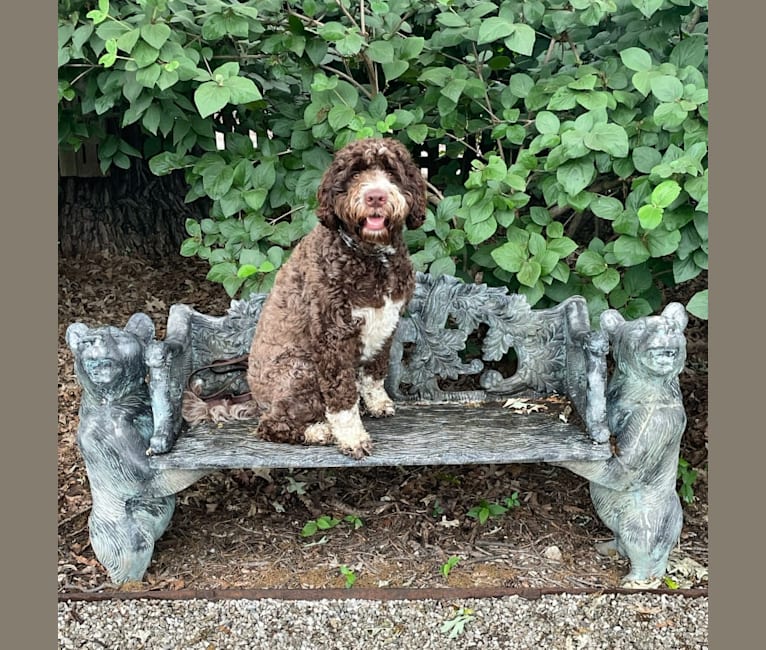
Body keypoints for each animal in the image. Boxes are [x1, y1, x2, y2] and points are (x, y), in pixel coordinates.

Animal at [244, 137, 426, 456]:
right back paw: (318, 432)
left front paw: (377, 403)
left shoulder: (386, 323)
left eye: (392, 172)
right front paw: (352, 437)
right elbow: (342, 397)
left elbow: (374, 371)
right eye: (355, 173)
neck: (372, 255)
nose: (376, 197)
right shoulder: (333, 334)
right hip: (300, 370)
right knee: (271, 425)